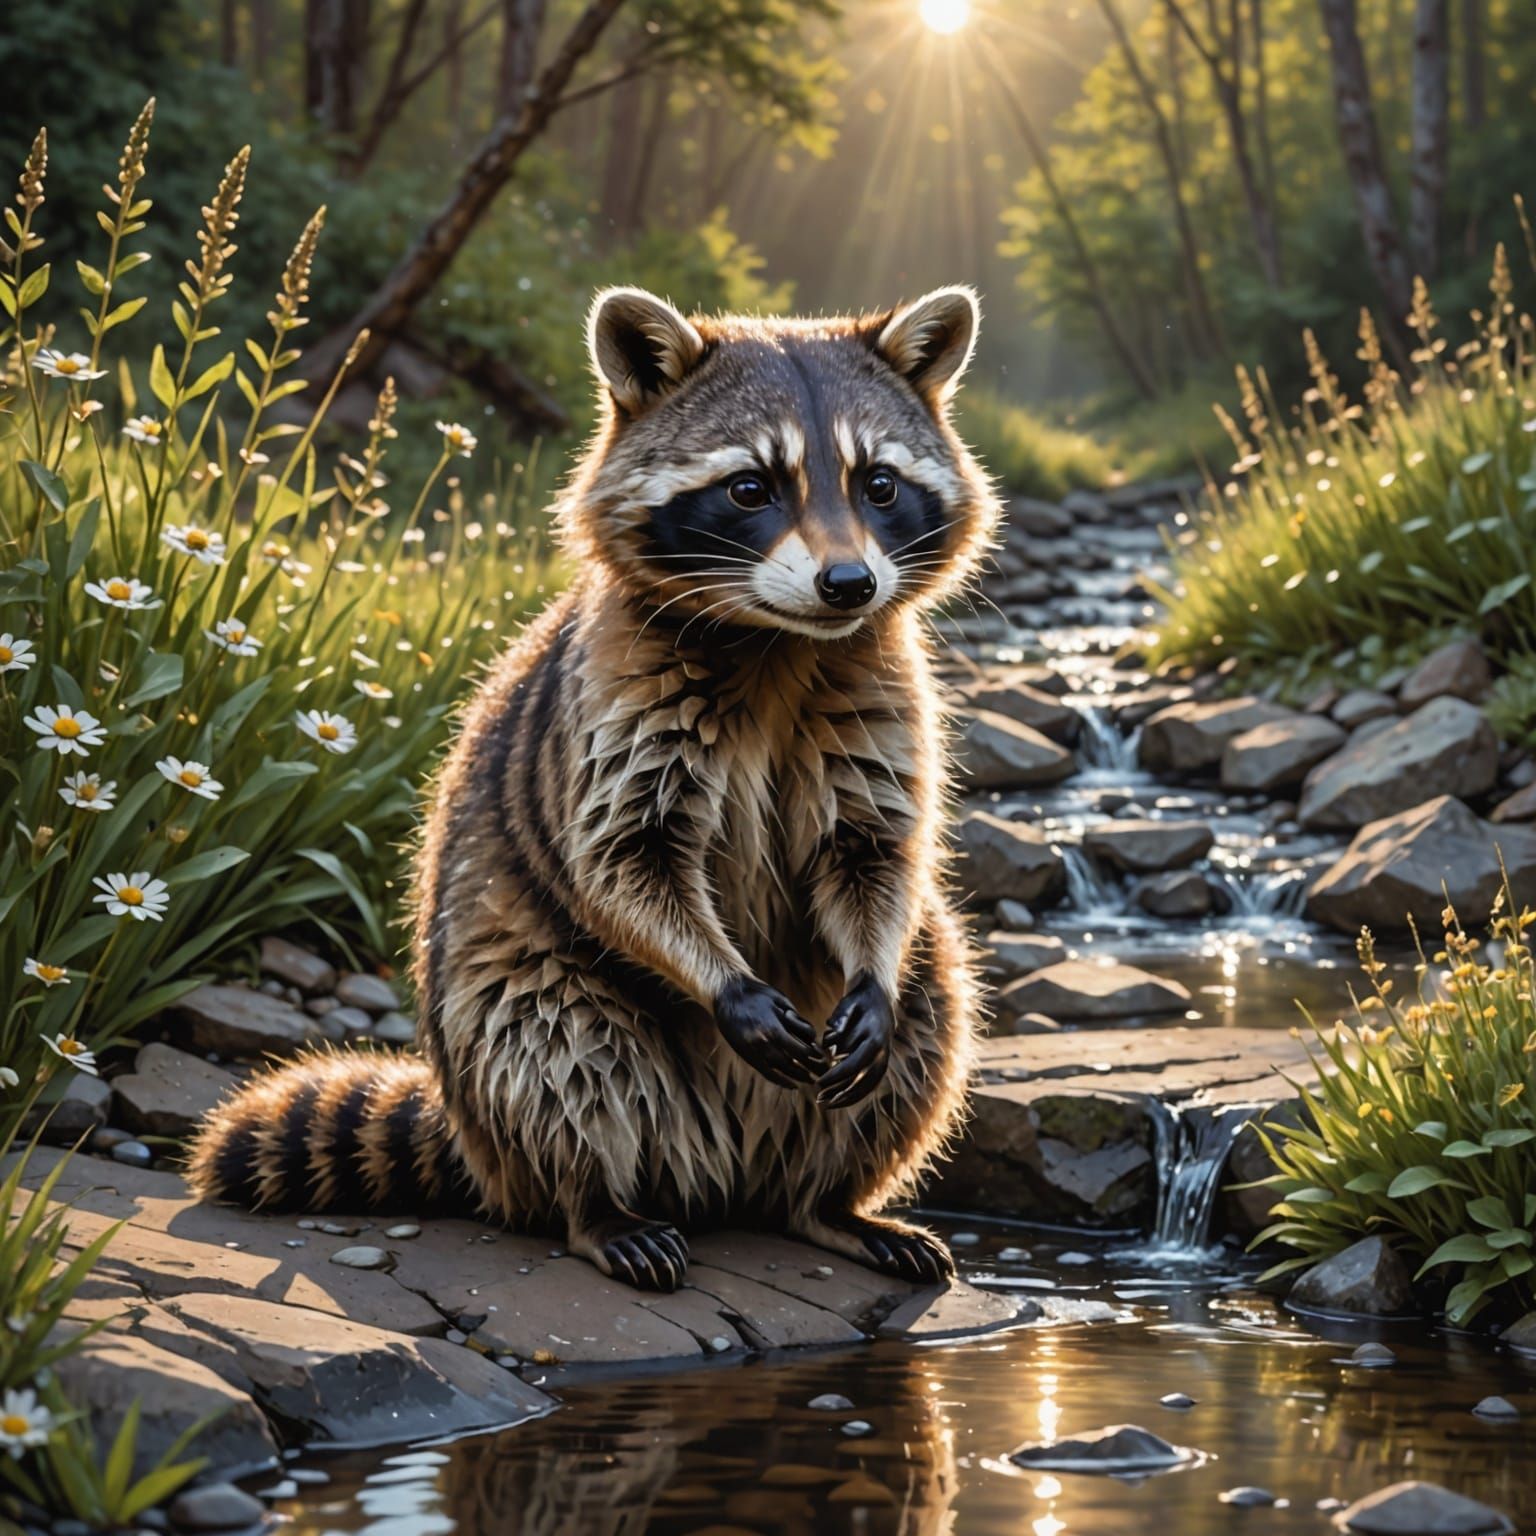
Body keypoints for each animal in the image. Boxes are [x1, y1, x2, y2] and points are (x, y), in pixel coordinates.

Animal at [187, 284, 1001, 1291]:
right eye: (751, 487)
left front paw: (871, 974)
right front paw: (722, 979)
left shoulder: (879, 692)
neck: (777, 641)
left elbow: (875, 854)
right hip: (513, 1012)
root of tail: (726, 1172)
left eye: (879, 484)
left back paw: (830, 1202)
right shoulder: (612, 705)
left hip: (868, 1045)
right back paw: (596, 1203)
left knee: (933, 989)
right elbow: (622, 862)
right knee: (554, 1047)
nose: (848, 584)